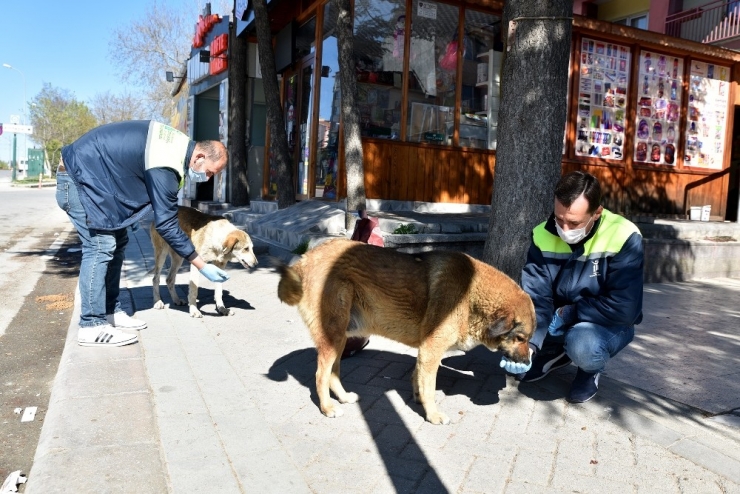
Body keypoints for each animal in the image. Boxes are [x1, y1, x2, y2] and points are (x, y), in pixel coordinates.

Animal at [276, 238, 532, 424]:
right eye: (520, 338)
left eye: (528, 339)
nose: (528, 361)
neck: (472, 296)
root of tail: (305, 260)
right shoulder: (431, 351)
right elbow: (429, 387)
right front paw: (433, 415)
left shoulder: (426, 352)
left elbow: (418, 378)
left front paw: (419, 399)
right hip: (333, 336)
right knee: (321, 375)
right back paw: (328, 407)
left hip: (340, 339)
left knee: (332, 373)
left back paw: (344, 398)